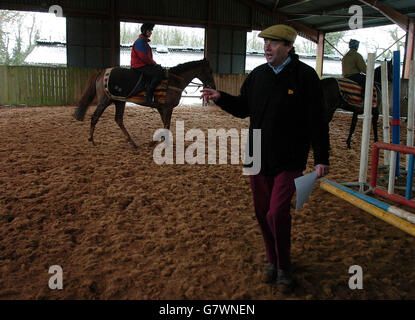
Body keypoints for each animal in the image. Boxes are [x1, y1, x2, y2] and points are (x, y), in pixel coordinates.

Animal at [74, 58, 216, 148]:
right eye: (210, 71)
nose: (213, 86)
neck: (174, 81)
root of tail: (102, 72)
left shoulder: (162, 108)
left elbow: (166, 125)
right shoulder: (167, 107)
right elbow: (166, 125)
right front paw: (154, 143)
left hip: (119, 101)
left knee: (118, 119)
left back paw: (132, 143)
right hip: (105, 101)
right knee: (95, 117)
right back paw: (92, 140)